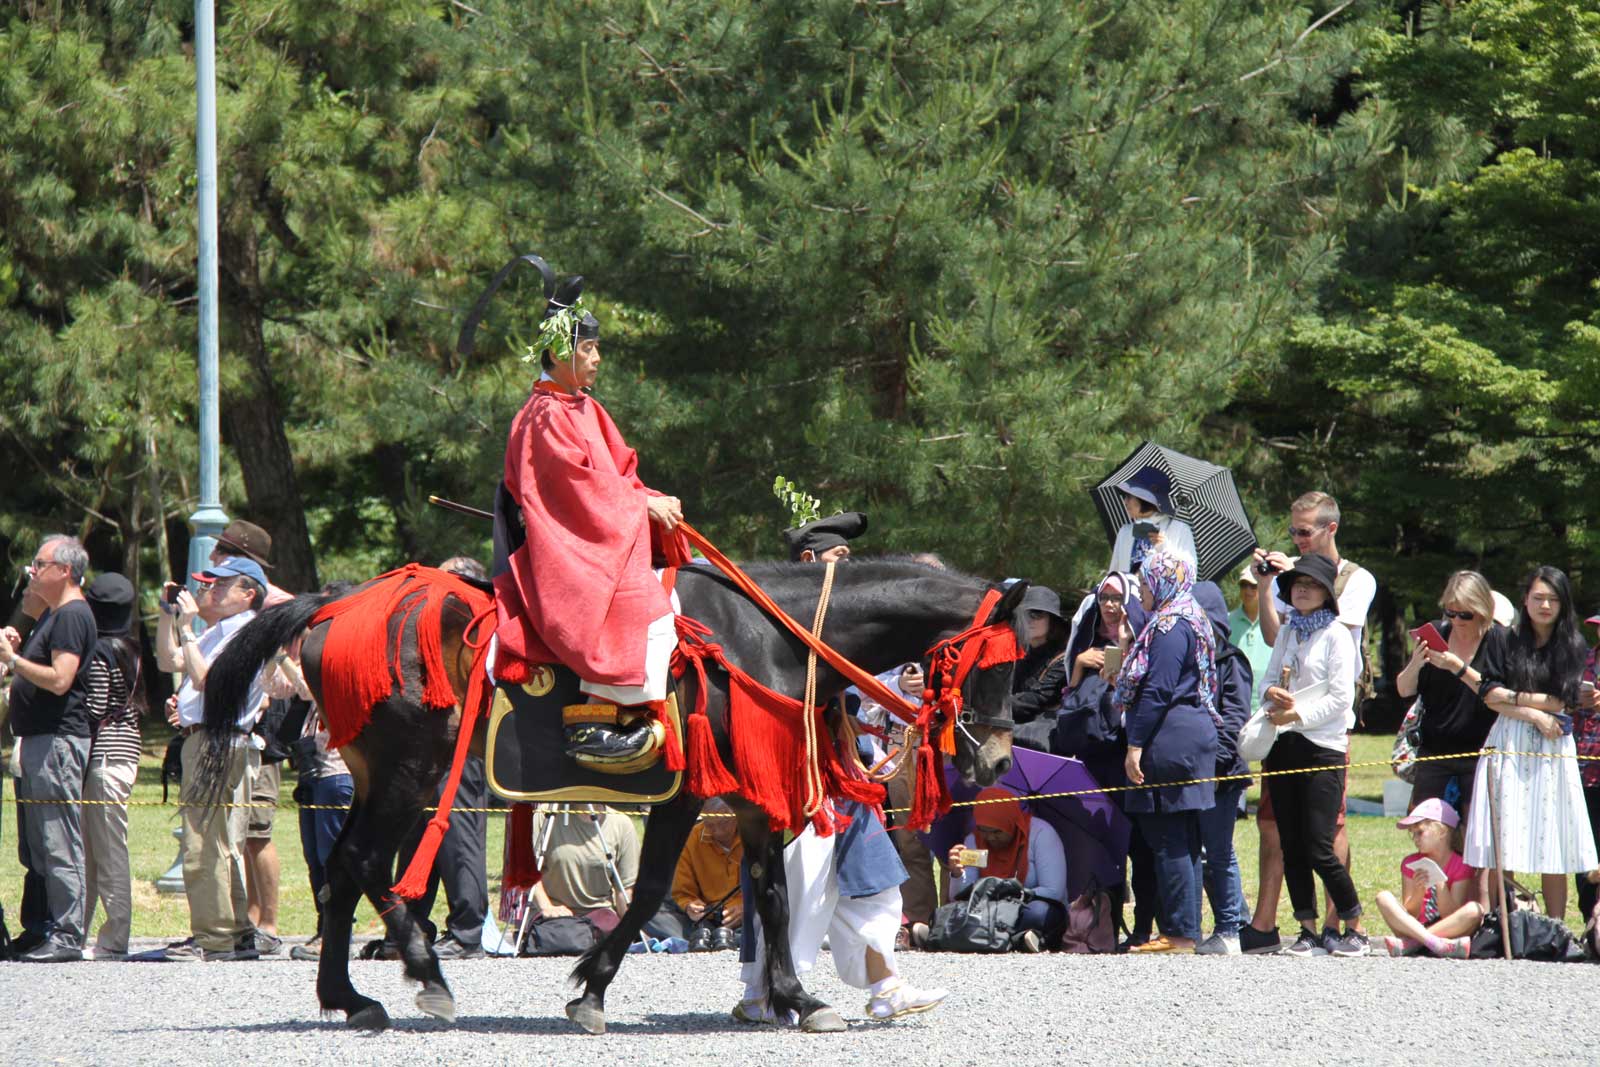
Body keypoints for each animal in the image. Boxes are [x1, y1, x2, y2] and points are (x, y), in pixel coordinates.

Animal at [203, 559, 1024, 1036]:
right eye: (998, 664)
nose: (995, 757)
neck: (767, 640)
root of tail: (337, 604)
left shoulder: (749, 799)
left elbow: (771, 893)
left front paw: (797, 997)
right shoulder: (689, 793)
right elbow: (652, 887)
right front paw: (591, 988)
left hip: (384, 776)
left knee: (343, 870)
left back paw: (351, 995)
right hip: (411, 771)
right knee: (365, 866)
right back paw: (421, 975)